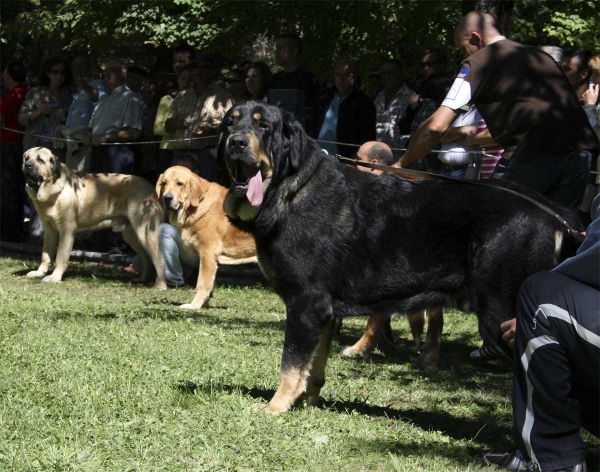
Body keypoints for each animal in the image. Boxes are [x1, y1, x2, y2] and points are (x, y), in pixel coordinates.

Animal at [22, 147, 168, 288]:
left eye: (40, 160)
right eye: (26, 158)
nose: (27, 165)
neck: (52, 188)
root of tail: (151, 188)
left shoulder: (66, 231)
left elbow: (60, 256)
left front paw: (55, 277)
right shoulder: (49, 231)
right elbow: (45, 254)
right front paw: (39, 272)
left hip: (145, 233)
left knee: (160, 260)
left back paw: (160, 285)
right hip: (132, 235)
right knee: (146, 259)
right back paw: (142, 280)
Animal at [155, 167, 255, 310]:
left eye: (180, 184)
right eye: (164, 183)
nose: (167, 197)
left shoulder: (207, 254)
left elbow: (202, 284)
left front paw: (194, 306)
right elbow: (210, 286)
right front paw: (204, 305)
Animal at [218, 100, 580, 412]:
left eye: (263, 126)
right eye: (230, 122)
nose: (236, 142)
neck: (291, 188)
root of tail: (556, 217)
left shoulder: (305, 304)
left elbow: (291, 364)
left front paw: (275, 407)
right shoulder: (325, 312)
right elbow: (314, 365)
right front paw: (309, 402)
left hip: (504, 315)